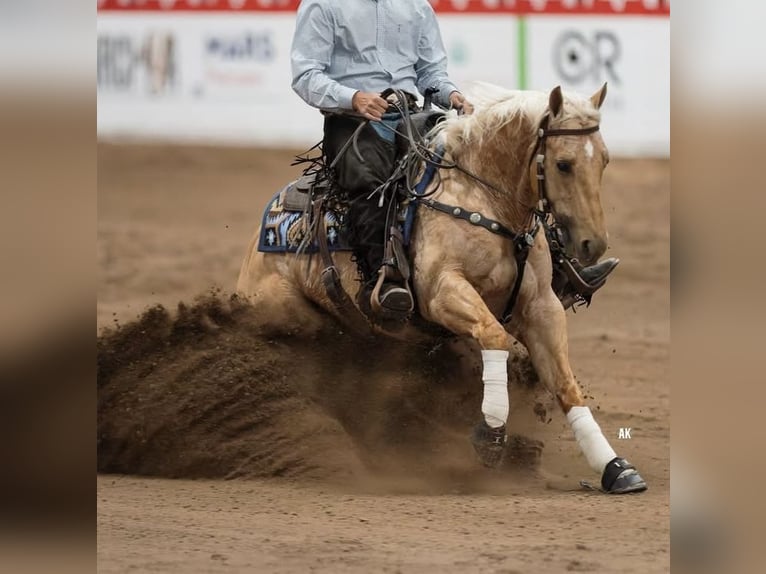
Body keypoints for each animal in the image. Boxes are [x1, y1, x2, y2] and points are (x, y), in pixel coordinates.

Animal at [237, 83, 647, 494]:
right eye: (563, 164)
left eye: (605, 160)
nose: (592, 244)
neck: (484, 199)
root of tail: (258, 241)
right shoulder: (442, 292)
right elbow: (494, 337)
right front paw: (491, 434)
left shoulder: (541, 307)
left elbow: (564, 383)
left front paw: (614, 467)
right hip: (284, 309)